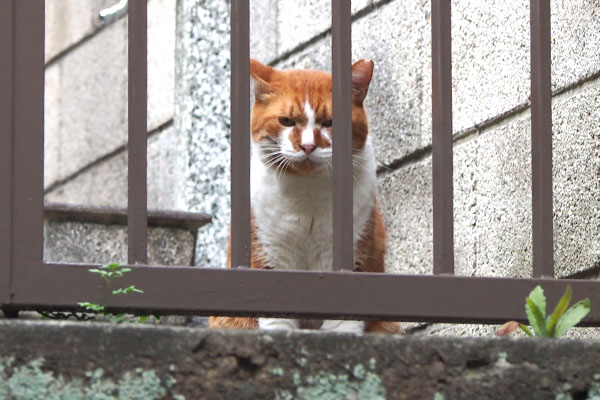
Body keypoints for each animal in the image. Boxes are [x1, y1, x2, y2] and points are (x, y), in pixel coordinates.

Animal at [211, 59, 404, 334]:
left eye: (330, 122)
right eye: (286, 121)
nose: (308, 146)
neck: (308, 192)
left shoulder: (351, 252)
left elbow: (343, 323)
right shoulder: (269, 255)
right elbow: (277, 322)